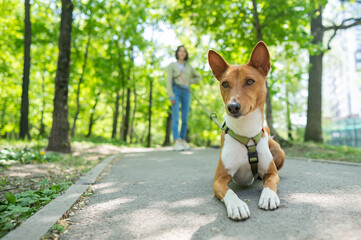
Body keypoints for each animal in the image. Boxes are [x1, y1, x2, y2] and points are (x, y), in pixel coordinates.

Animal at [208, 41, 284, 221]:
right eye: (225, 84)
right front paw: (237, 205)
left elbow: (270, 183)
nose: (232, 107)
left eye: (250, 81)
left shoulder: (272, 173)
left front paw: (268, 196)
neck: (247, 133)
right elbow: (230, 192)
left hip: (279, 151)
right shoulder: (219, 179)